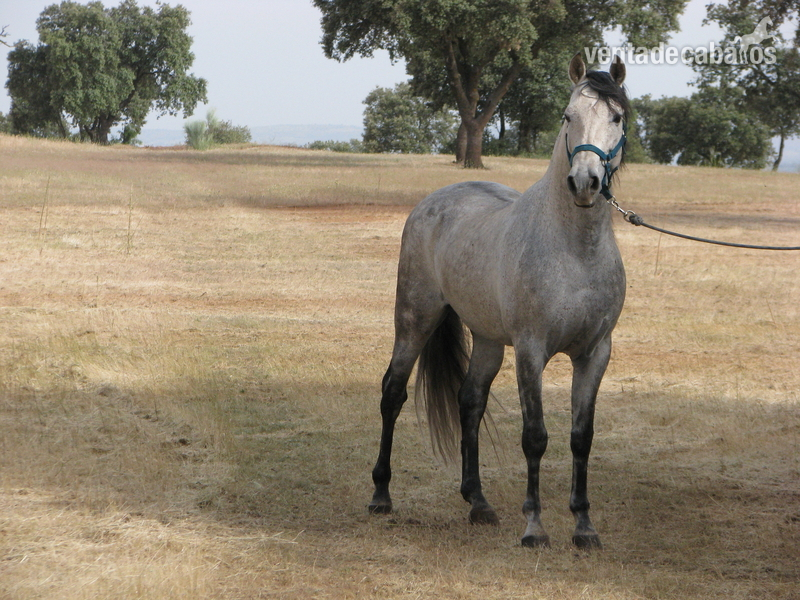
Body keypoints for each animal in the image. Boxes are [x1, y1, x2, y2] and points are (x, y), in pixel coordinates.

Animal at [368, 52, 629, 549]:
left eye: (616, 117)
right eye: (568, 116)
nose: (584, 182)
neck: (574, 250)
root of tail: (434, 201)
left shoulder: (595, 353)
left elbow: (580, 437)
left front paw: (584, 526)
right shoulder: (531, 350)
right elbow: (535, 437)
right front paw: (535, 528)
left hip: (488, 340)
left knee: (470, 400)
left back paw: (478, 502)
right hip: (415, 320)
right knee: (393, 393)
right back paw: (380, 496)